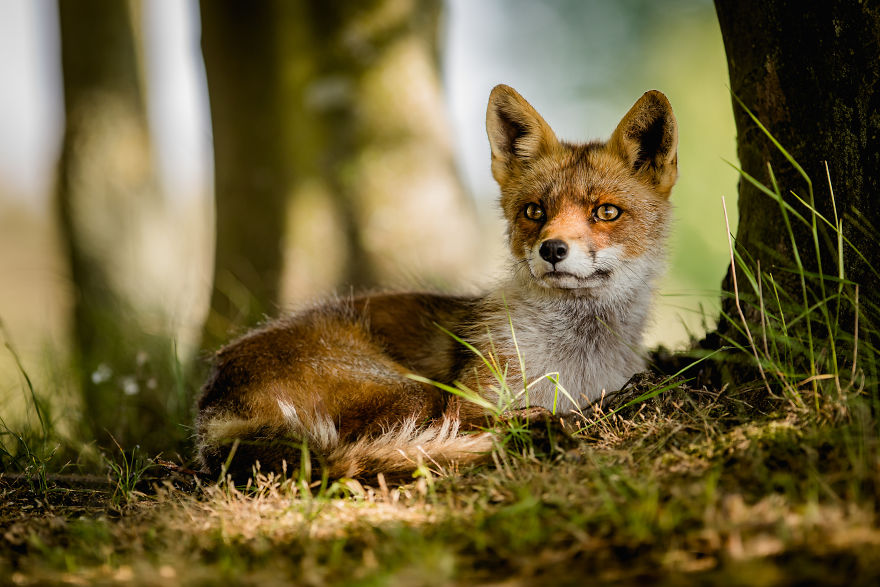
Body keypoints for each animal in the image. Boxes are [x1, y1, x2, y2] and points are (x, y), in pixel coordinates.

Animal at [196, 84, 678, 481]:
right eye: (534, 211)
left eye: (606, 212)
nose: (553, 250)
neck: (578, 363)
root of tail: (210, 403)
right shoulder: (467, 401)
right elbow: (486, 418)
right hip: (414, 394)